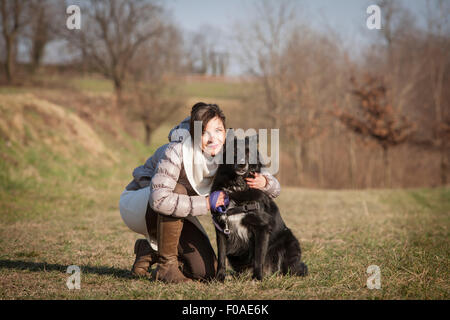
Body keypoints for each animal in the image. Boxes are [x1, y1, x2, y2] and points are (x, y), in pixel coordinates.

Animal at [210, 135, 308, 280]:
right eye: (234, 151)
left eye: (248, 152)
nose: (241, 164)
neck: (238, 187)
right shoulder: (222, 228)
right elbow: (221, 256)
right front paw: (220, 278)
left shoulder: (262, 228)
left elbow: (258, 256)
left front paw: (257, 278)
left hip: (289, 242)